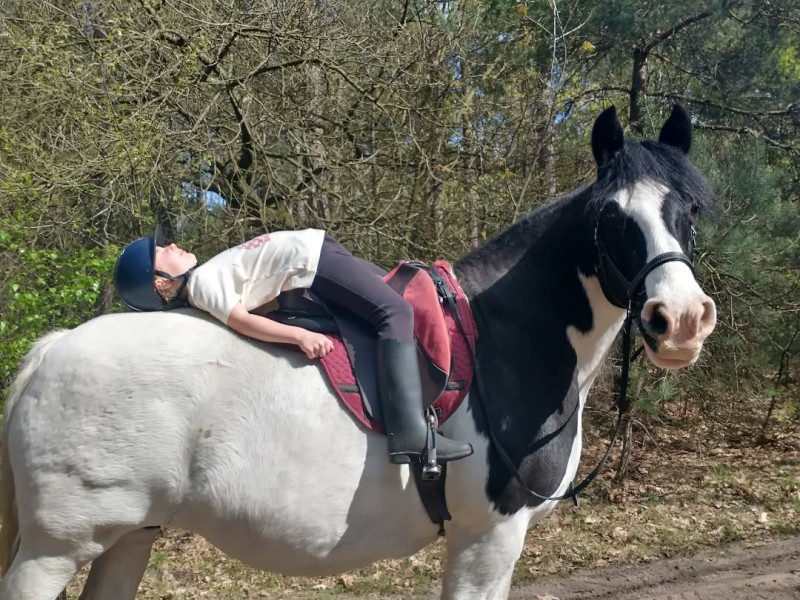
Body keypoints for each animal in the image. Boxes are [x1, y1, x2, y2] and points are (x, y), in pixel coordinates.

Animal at [0, 105, 717, 600]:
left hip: (130, 535)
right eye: (610, 216)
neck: (505, 340)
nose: (680, 319)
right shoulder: (489, 536)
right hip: (55, 548)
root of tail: (51, 351)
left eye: (689, 208)